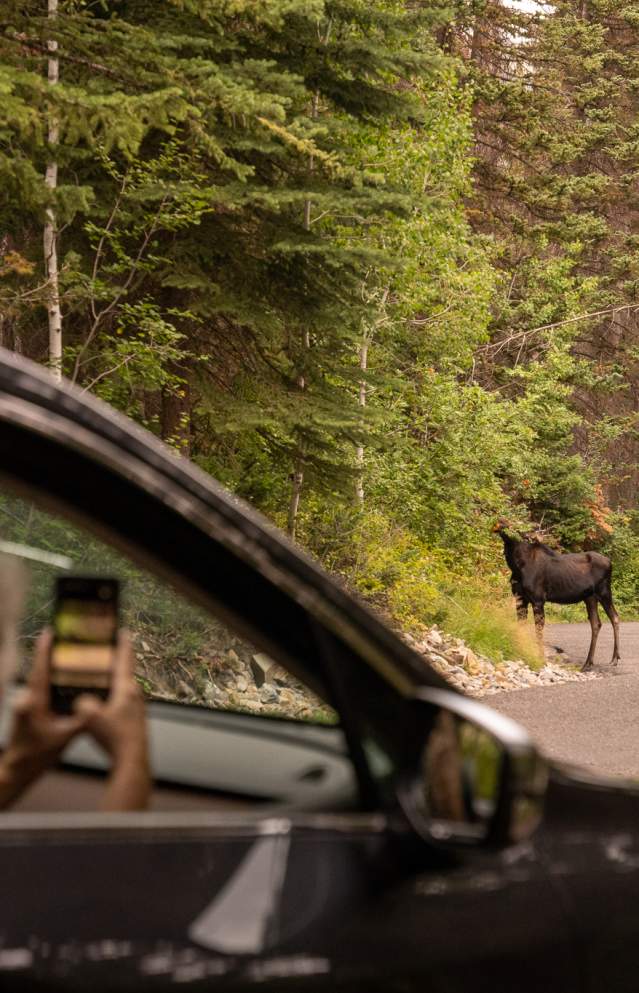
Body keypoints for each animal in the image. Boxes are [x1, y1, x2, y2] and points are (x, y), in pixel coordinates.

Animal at [496, 520, 620, 676]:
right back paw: (588, 663)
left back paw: (615, 658)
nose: (501, 522)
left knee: (614, 617)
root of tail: (610, 562)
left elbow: (538, 630)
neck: (516, 565)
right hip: (590, 597)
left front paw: (541, 659)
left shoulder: (538, 599)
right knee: (596, 623)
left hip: (604, 591)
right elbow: (521, 626)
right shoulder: (520, 599)